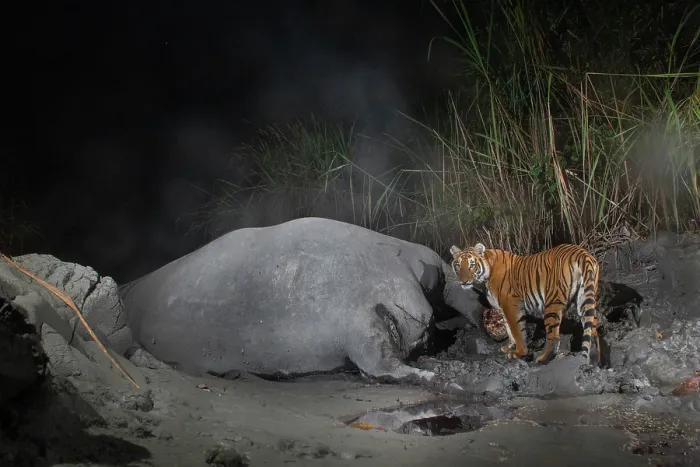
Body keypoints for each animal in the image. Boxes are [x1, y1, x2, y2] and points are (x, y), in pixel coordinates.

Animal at [449, 242, 601, 365]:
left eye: (472, 265)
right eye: (458, 265)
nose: (463, 281)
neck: (485, 278)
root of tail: (582, 252)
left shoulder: (511, 304)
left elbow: (517, 330)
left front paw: (519, 353)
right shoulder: (503, 308)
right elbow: (508, 329)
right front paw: (508, 347)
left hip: (552, 302)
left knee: (554, 337)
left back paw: (543, 359)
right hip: (586, 298)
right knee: (592, 331)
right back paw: (594, 360)